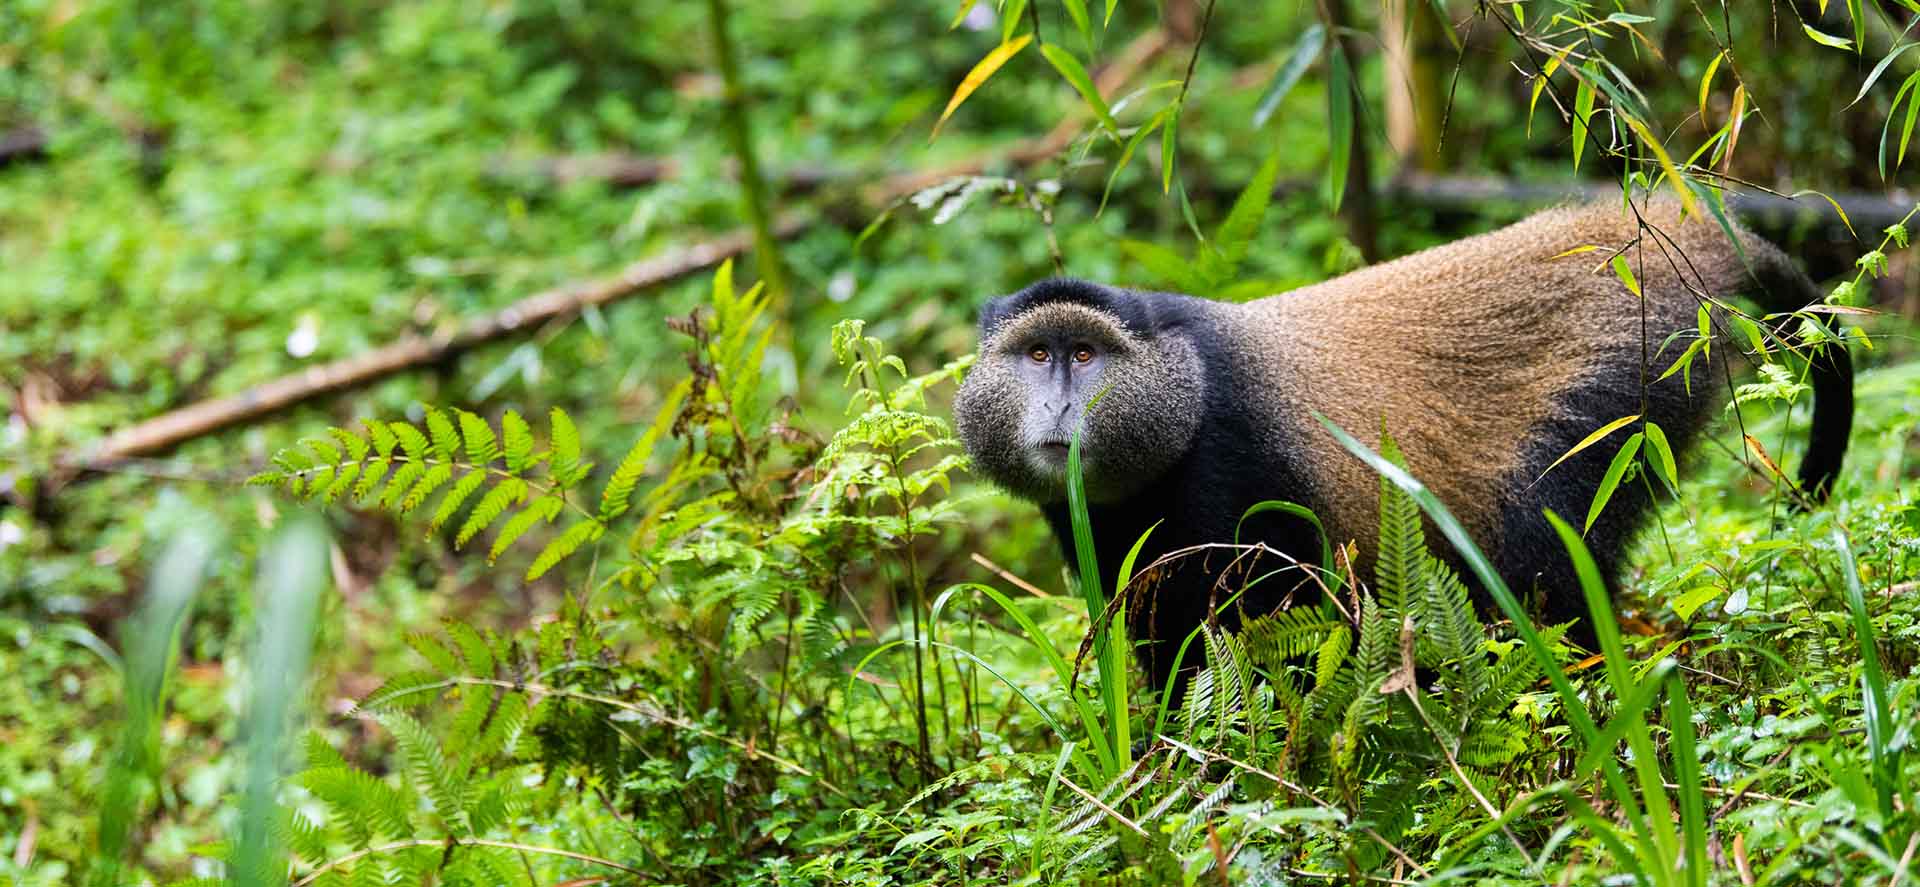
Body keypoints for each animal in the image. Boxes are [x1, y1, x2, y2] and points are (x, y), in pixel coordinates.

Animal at [953, 200, 1854, 691]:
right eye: (1037, 354)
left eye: (1084, 354)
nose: (1061, 402)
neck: (1187, 387)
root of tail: (1676, 238)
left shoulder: (1233, 473)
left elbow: (1276, 627)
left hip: (1623, 387)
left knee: (1544, 555)